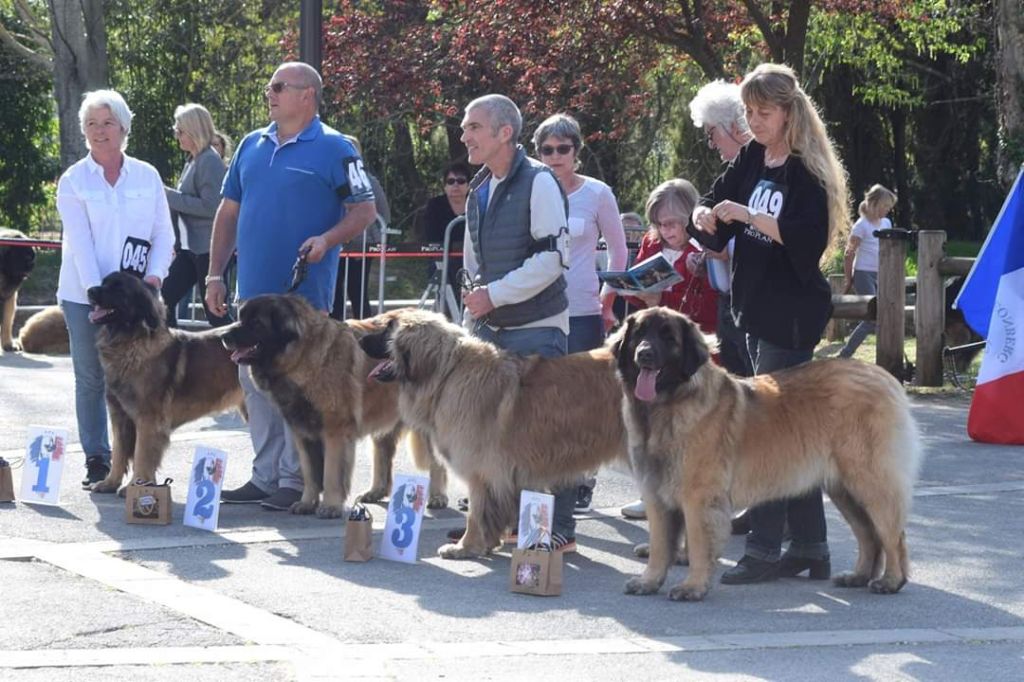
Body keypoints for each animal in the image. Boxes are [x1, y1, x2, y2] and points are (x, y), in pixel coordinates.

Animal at [84, 270, 242, 489]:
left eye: (118, 288)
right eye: (103, 282)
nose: (90, 290)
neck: (130, 342)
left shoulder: (148, 418)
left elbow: (141, 454)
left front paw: (137, 486)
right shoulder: (119, 414)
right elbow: (118, 452)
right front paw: (110, 483)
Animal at [222, 296, 446, 516]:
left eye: (256, 323)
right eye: (241, 318)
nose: (224, 335)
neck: (303, 358)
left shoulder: (335, 431)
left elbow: (330, 472)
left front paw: (330, 506)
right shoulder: (302, 432)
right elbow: (310, 473)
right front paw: (306, 503)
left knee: (437, 462)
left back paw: (437, 497)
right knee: (383, 455)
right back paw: (375, 491)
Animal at [360, 307, 630, 557]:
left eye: (387, 328)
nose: (360, 339)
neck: (448, 372)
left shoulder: (481, 470)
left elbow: (476, 512)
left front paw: (465, 547)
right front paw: (487, 542)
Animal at [610, 307, 925, 602]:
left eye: (668, 337)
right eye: (639, 334)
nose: (645, 354)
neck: (667, 405)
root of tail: (884, 377)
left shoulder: (697, 497)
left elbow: (698, 545)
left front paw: (692, 587)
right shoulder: (656, 494)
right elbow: (660, 546)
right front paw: (648, 581)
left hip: (870, 482)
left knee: (893, 535)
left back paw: (891, 581)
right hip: (844, 489)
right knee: (869, 535)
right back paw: (858, 576)